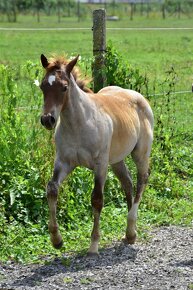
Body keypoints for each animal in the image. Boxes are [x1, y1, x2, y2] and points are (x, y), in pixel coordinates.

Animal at [39, 53, 154, 255]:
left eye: (64, 87)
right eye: (43, 86)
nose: (47, 119)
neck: (78, 125)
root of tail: (138, 97)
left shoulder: (100, 165)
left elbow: (97, 199)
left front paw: (93, 244)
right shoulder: (63, 162)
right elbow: (52, 189)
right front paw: (56, 240)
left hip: (140, 154)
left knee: (141, 182)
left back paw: (131, 230)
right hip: (116, 160)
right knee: (128, 183)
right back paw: (129, 234)